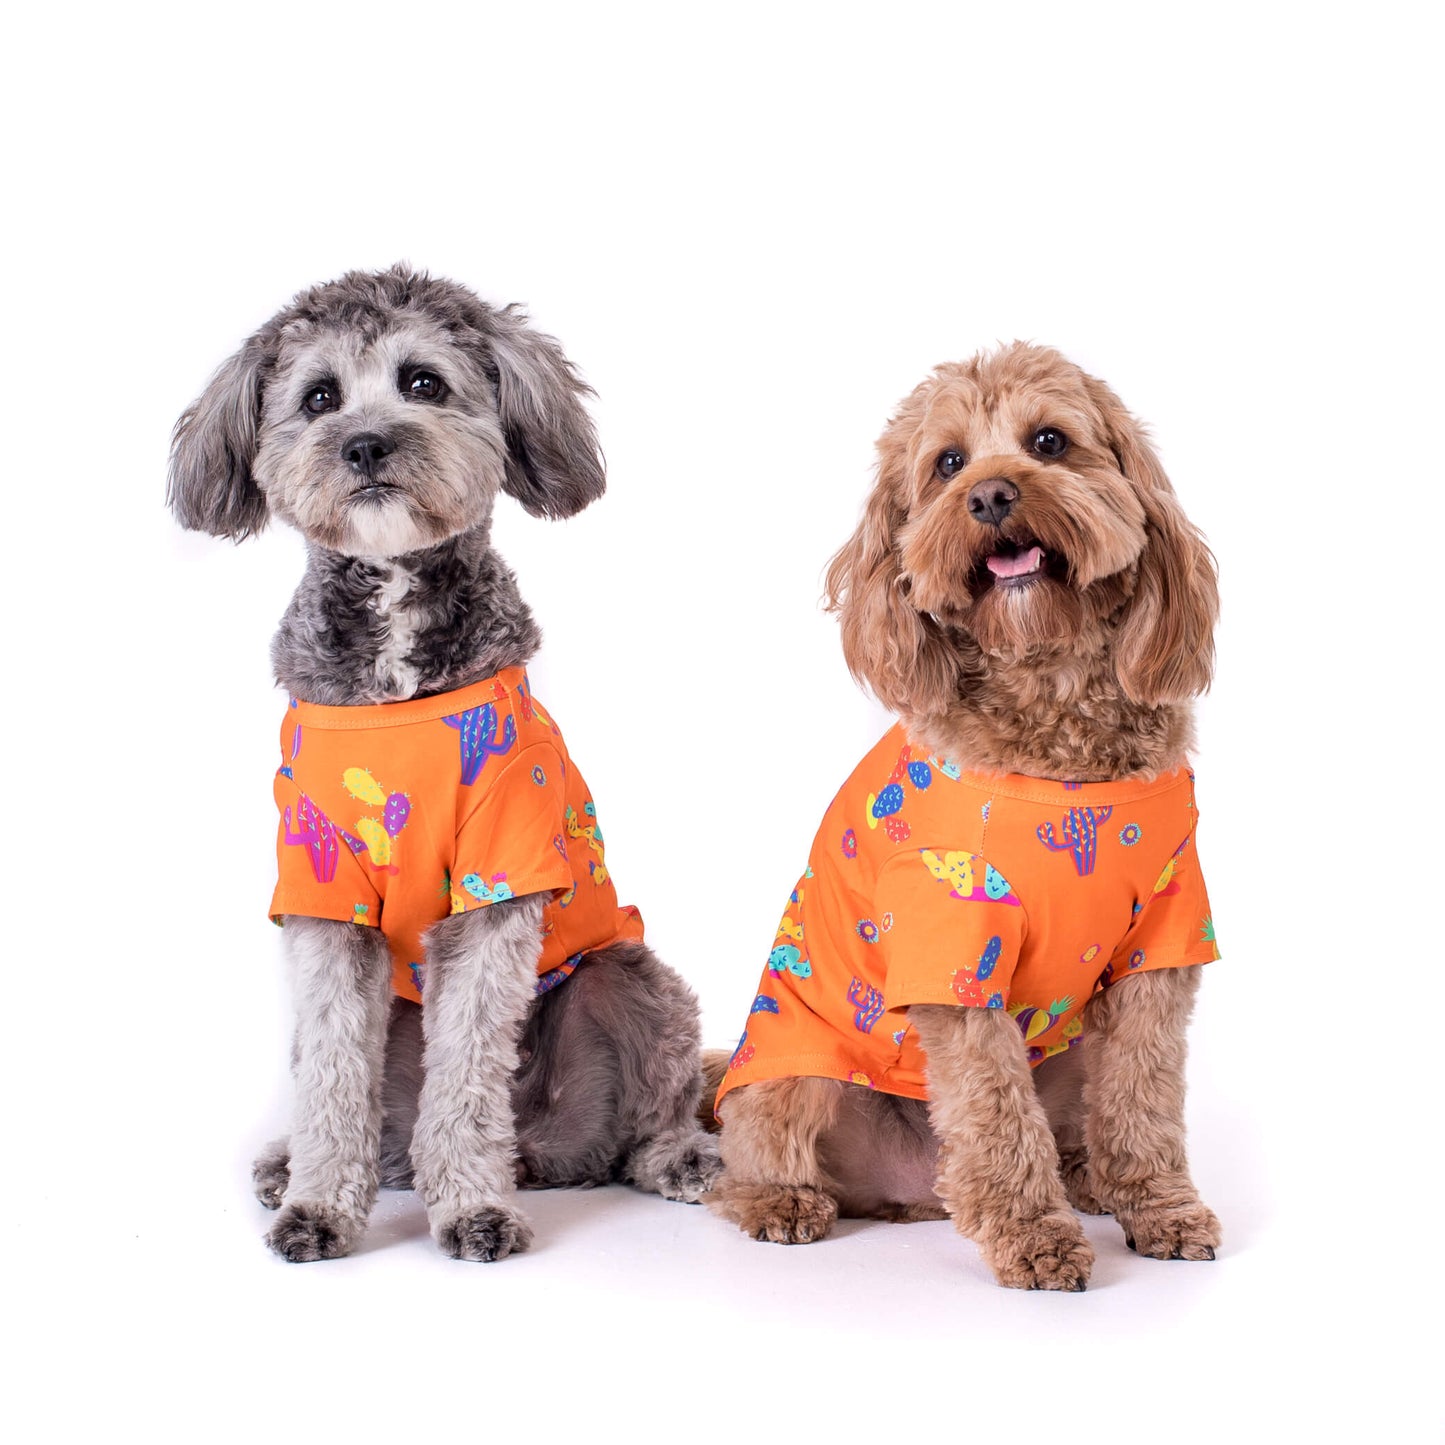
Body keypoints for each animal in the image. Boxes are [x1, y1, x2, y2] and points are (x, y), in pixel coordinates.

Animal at [169, 265, 722, 1260]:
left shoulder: (500, 877)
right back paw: (290, 1165)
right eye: (319, 397)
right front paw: (319, 1203)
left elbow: (465, 1070)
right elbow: (333, 1074)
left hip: (628, 973)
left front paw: (470, 1206)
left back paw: (670, 1154)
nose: (365, 443)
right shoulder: (319, 890)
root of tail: (541, 1149)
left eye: (422, 381)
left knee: (647, 1108)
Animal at [705, 343, 1225, 1294]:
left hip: (1066, 1055)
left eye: (1048, 440)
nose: (988, 495)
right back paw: (781, 1200)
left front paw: (1158, 1207)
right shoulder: (954, 944)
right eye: (947, 462)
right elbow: (994, 1114)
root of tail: (909, 1191)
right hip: (795, 1066)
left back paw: (1085, 1177)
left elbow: (1143, 1095)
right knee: (748, 1152)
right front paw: (1032, 1236)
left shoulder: (1162, 935)